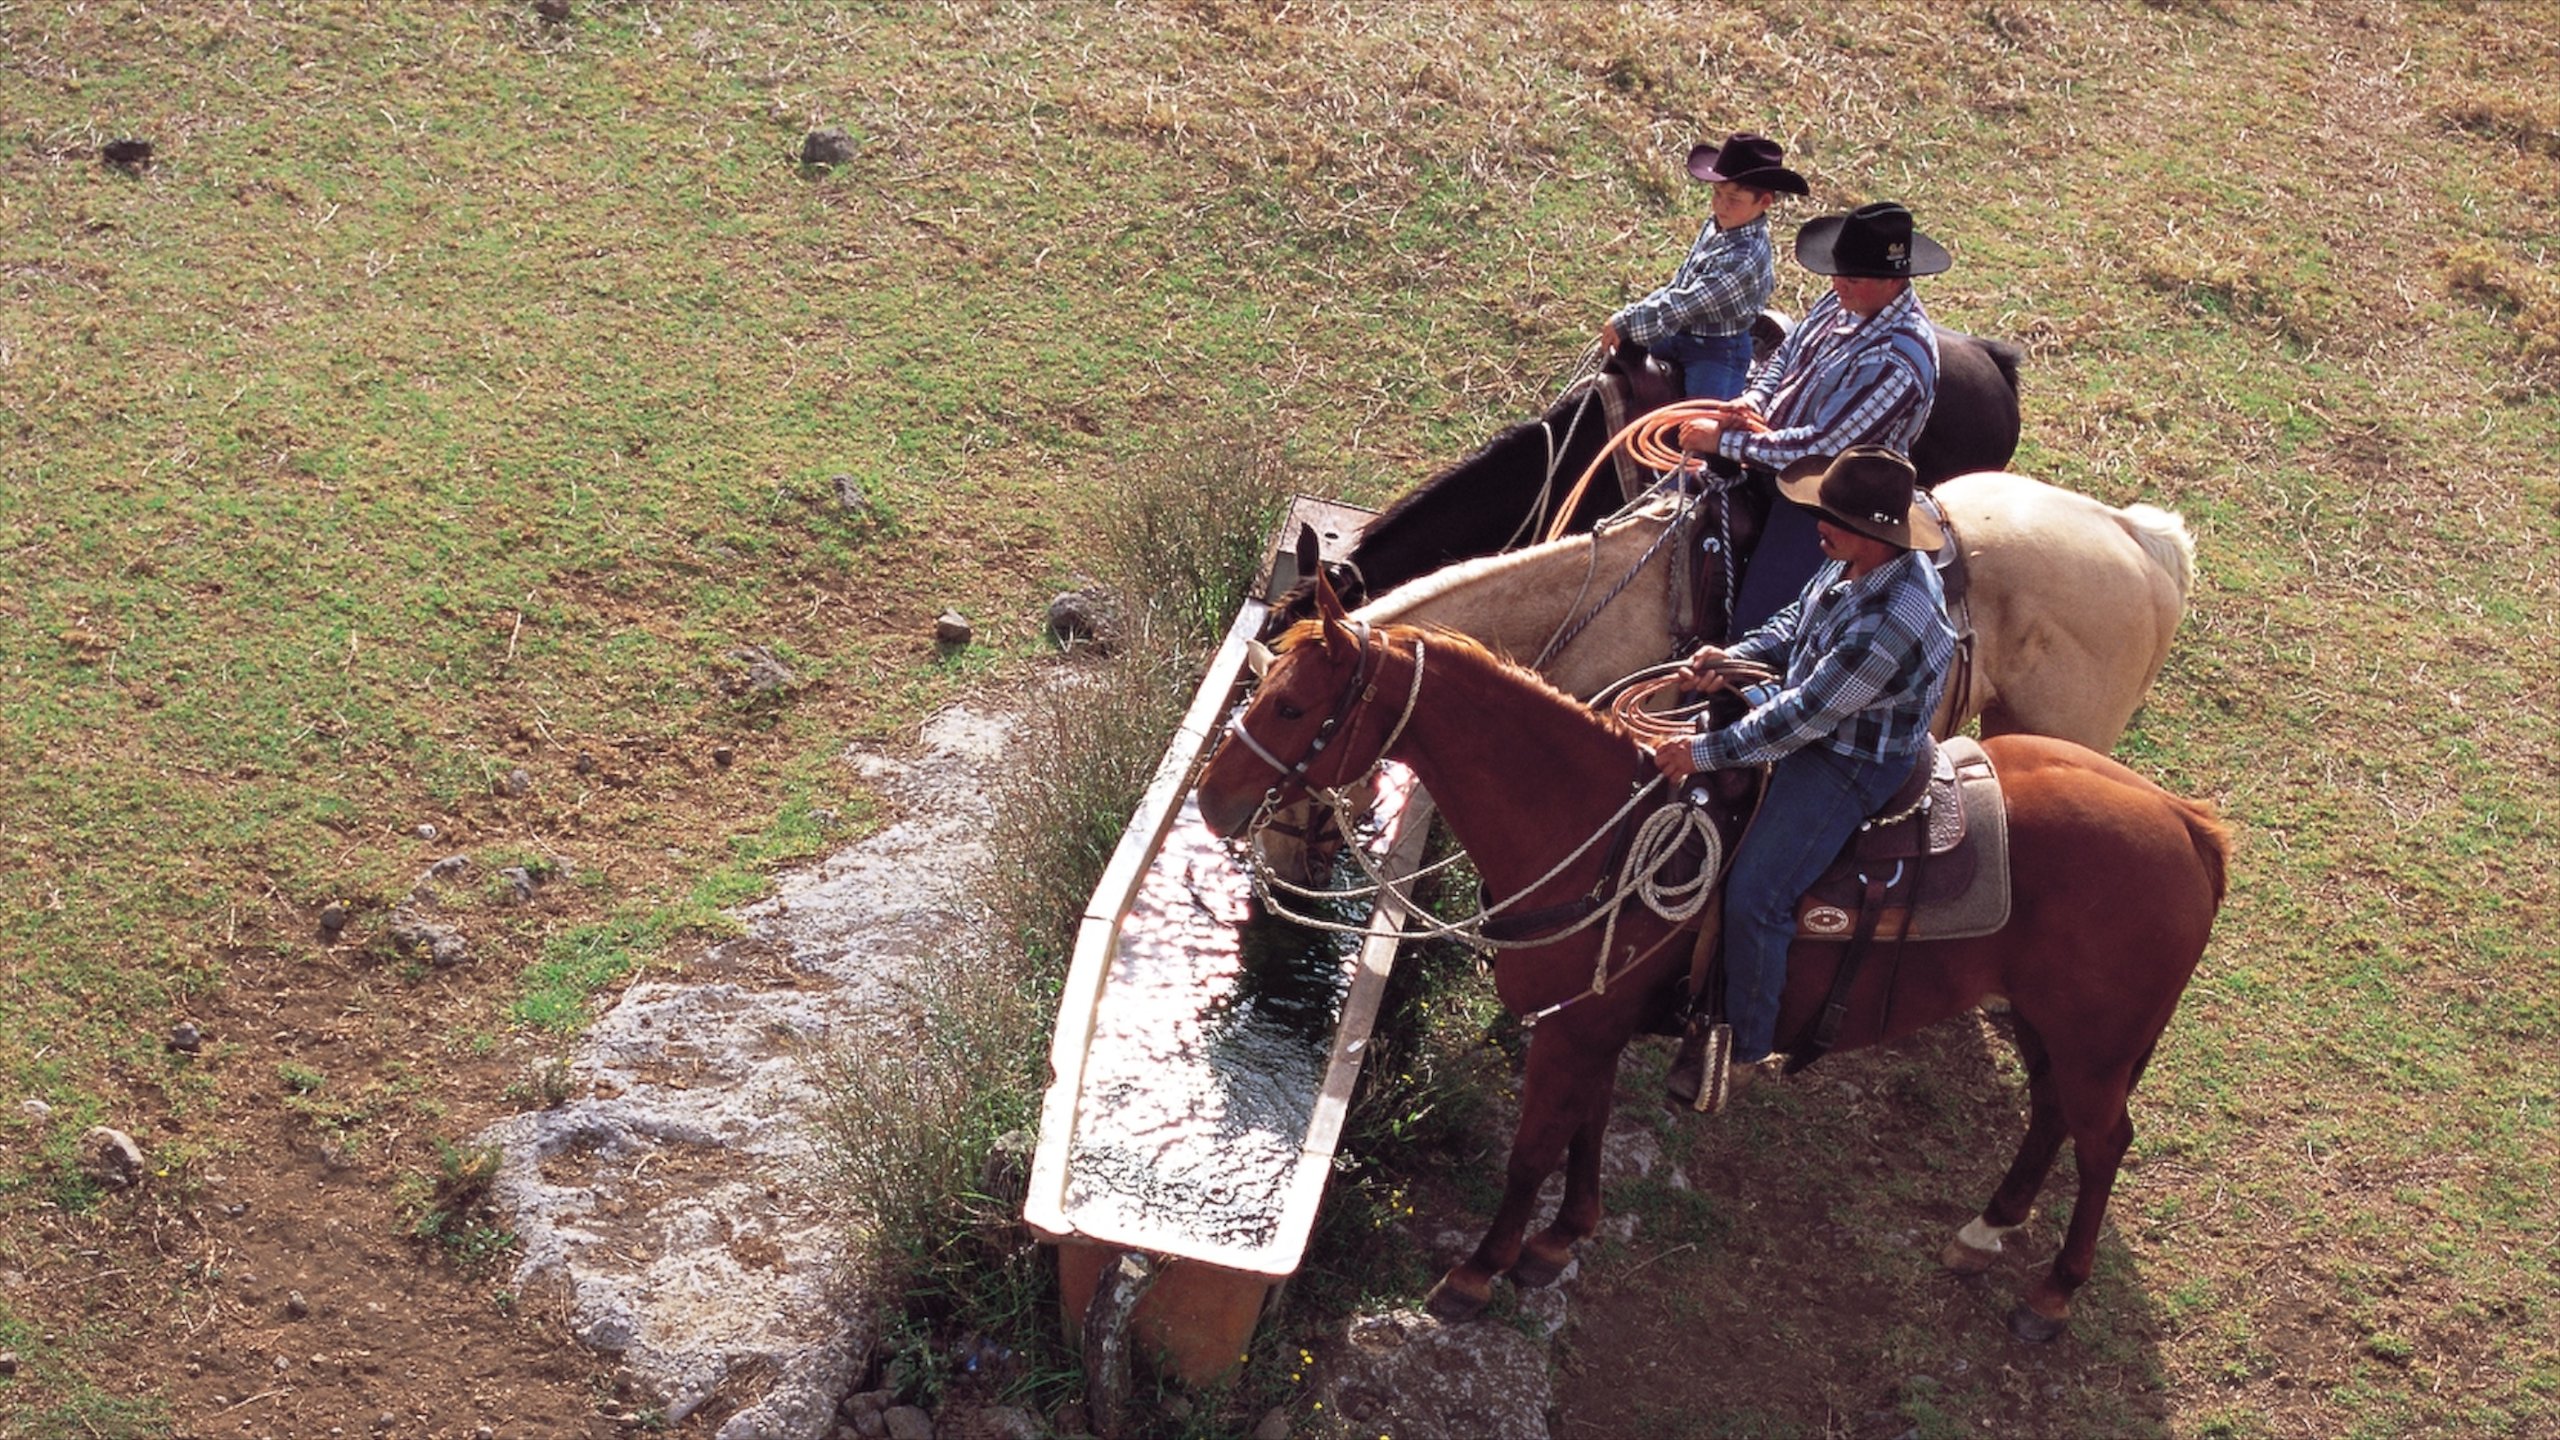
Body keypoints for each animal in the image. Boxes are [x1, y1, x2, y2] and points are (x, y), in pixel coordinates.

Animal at [1198, 576, 2222, 1342]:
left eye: (1292, 704)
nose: (1213, 802)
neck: (1595, 825)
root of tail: (2184, 823)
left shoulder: (1571, 1033)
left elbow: (1532, 1150)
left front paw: (1479, 1271)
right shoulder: (1595, 1025)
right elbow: (1584, 1131)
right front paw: (1560, 1242)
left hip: (2096, 1043)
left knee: (2103, 1141)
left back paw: (2052, 1294)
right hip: (2047, 1022)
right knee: (2051, 1116)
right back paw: (1986, 1229)